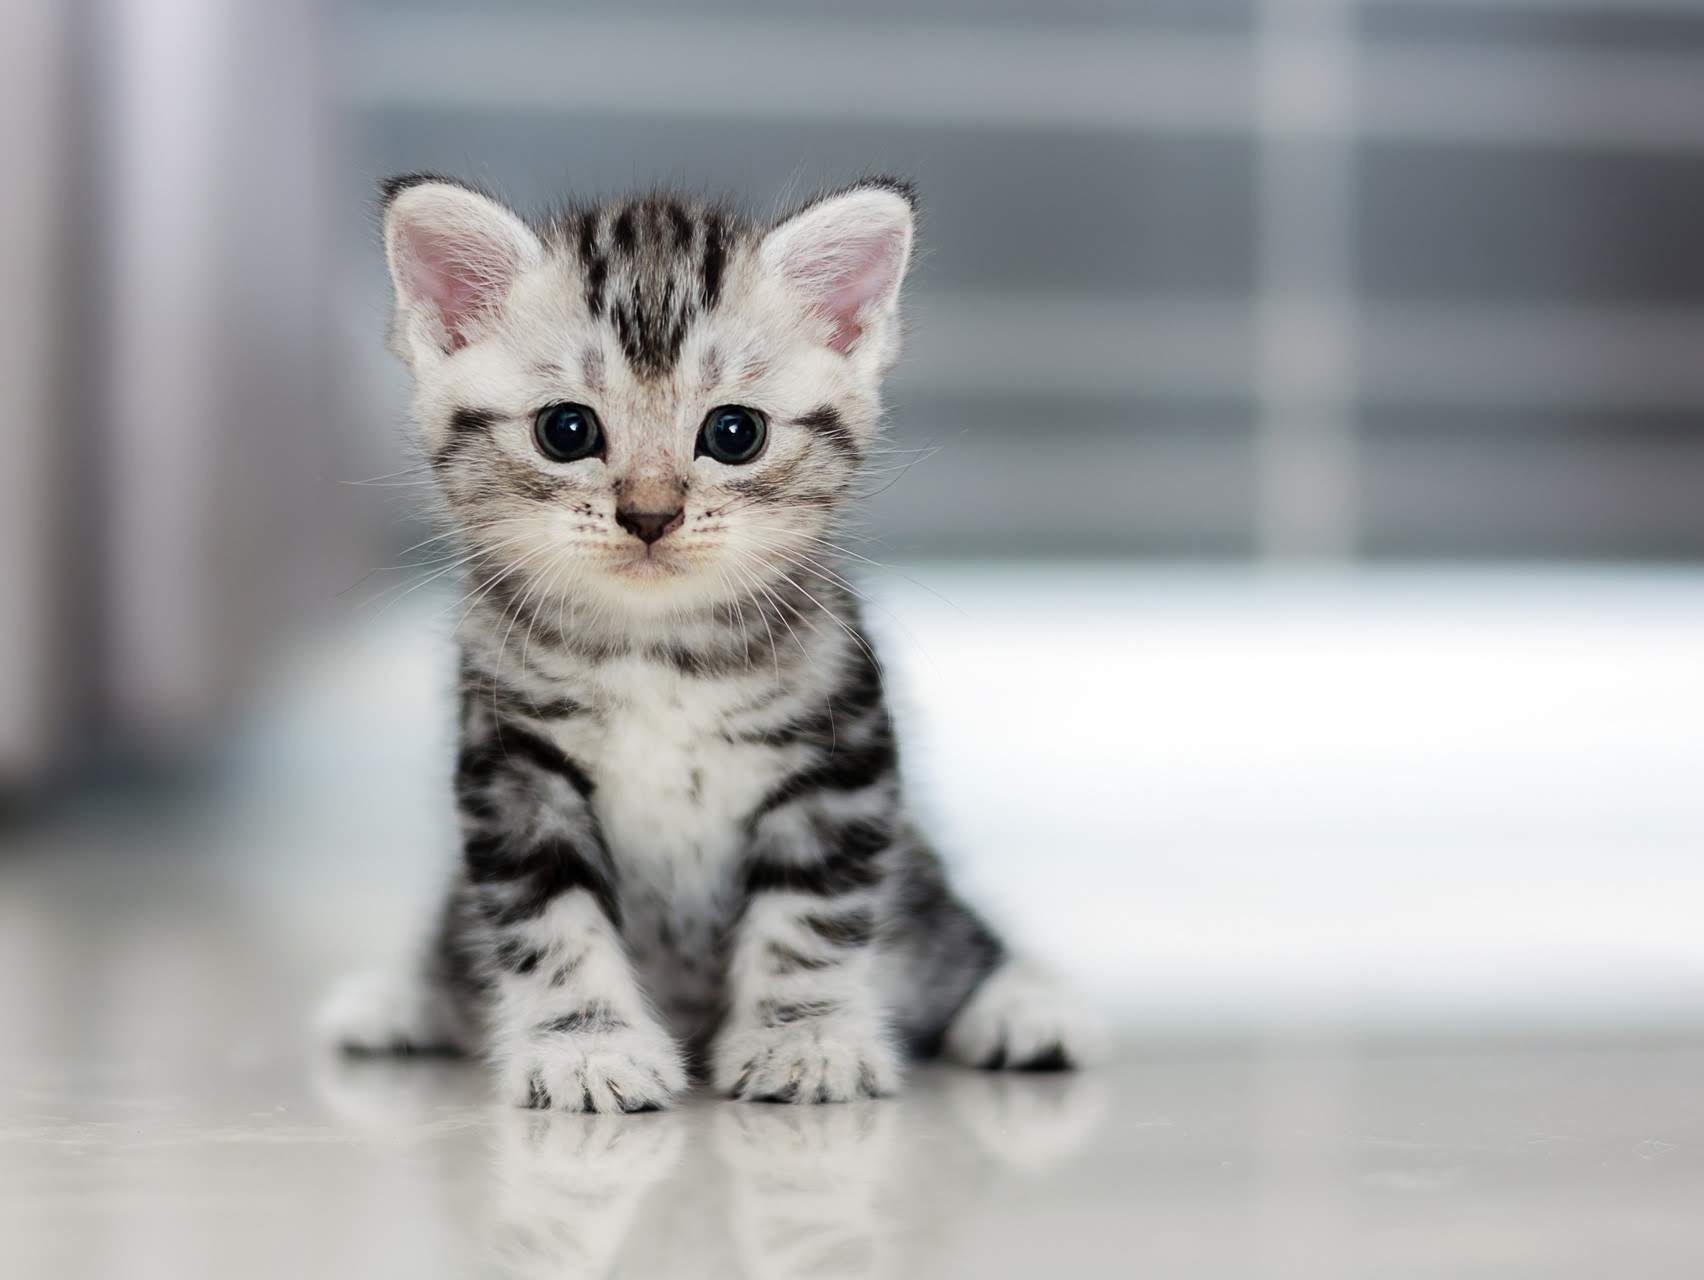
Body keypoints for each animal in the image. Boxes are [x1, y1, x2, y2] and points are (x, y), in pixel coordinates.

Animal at [325, 172, 1104, 1111]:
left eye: (735, 433)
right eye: (566, 431)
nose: (650, 515)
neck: (658, 651)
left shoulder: (838, 757)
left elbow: (808, 920)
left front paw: (804, 1041)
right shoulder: (512, 766)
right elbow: (552, 925)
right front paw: (588, 1048)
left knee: (950, 940)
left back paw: (1025, 1008)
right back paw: (398, 1002)